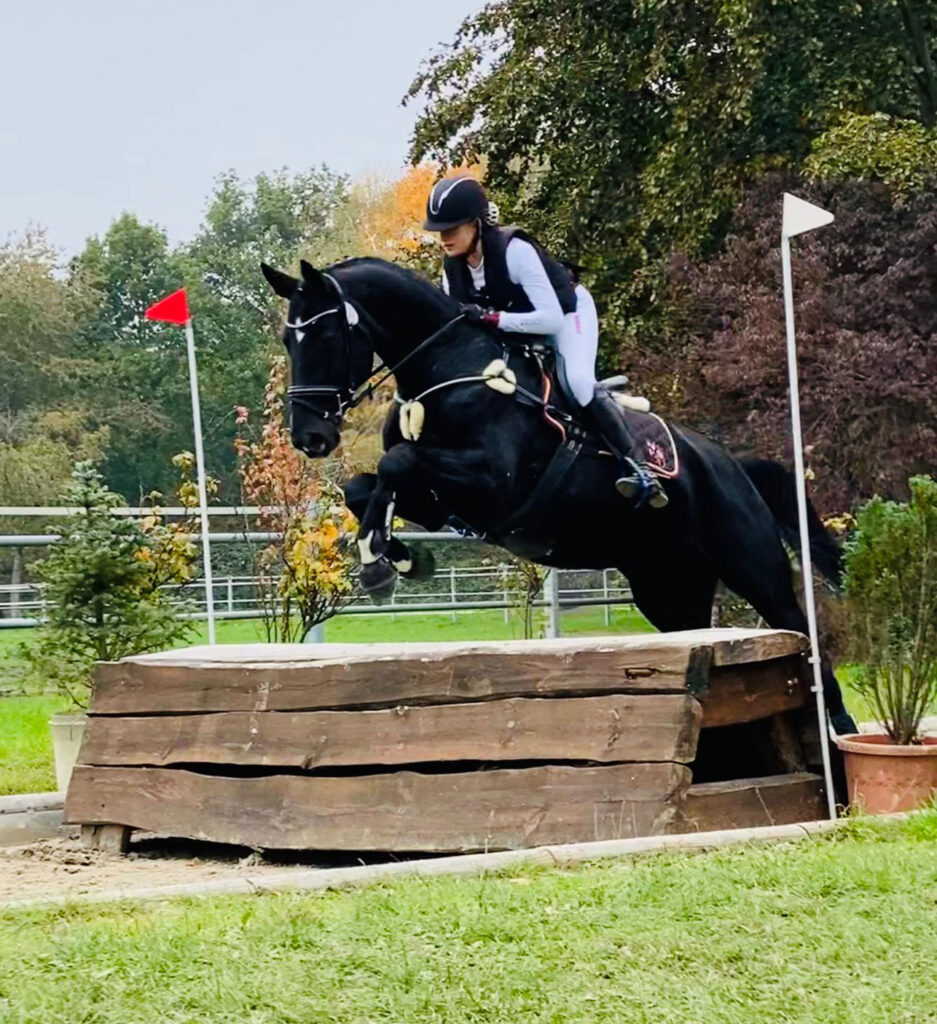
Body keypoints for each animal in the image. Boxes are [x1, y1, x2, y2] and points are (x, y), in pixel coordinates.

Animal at [262, 258, 856, 737]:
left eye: (323, 337)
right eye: (288, 342)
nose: (309, 437)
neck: (448, 367)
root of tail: (732, 464)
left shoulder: (493, 483)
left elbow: (396, 462)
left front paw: (381, 565)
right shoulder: (438, 498)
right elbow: (366, 484)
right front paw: (395, 557)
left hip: (751, 564)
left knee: (801, 630)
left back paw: (842, 735)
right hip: (668, 588)